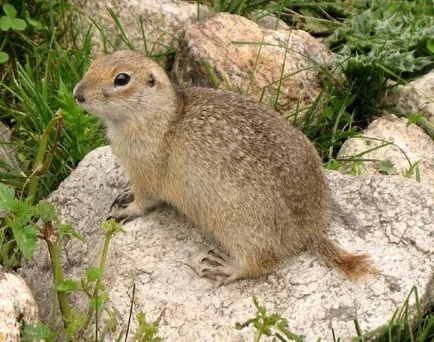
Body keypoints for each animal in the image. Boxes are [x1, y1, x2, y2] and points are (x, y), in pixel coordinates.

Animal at [73, 48, 374, 284]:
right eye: (94, 61)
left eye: (121, 79)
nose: (77, 94)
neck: (164, 114)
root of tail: (310, 231)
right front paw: (123, 194)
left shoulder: (146, 171)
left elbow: (145, 200)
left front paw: (126, 210)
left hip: (242, 230)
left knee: (262, 263)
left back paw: (225, 267)